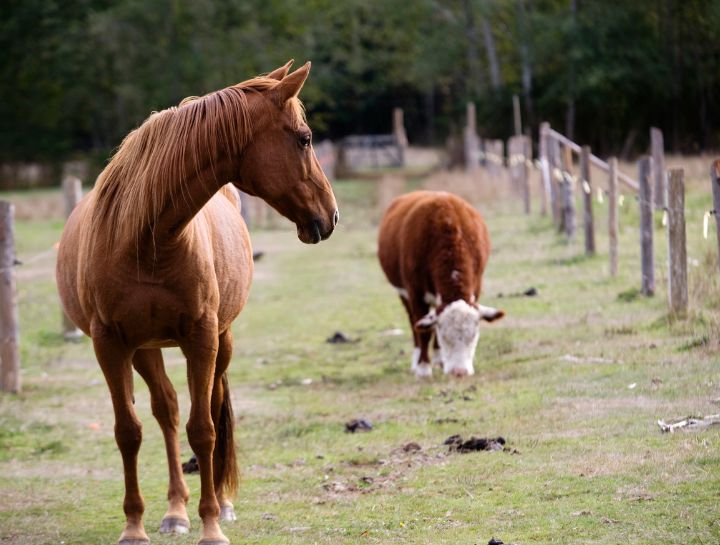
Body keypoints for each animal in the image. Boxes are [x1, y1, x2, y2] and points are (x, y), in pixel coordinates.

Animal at [56, 61, 338, 540]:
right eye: (304, 138)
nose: (331, 214)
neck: (146, 237)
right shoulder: (110, 345)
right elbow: (128, 431)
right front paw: (134, 527)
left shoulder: (202, 337)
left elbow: (203, 428)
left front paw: (212, 527)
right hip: (145, 349)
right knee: (166, 411)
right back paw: (174, 511)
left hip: (220, 341)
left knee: (213, 404)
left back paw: (219, 504)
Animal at [380, 189, 504, 376]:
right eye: (444, 335)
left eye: (473, 335)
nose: (459, 371)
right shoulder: (415, 292)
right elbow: (424, 332)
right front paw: (423, 368)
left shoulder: (476, 287)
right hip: (403, 293)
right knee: (413, 323)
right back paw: (417, 359)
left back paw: (439, 359)